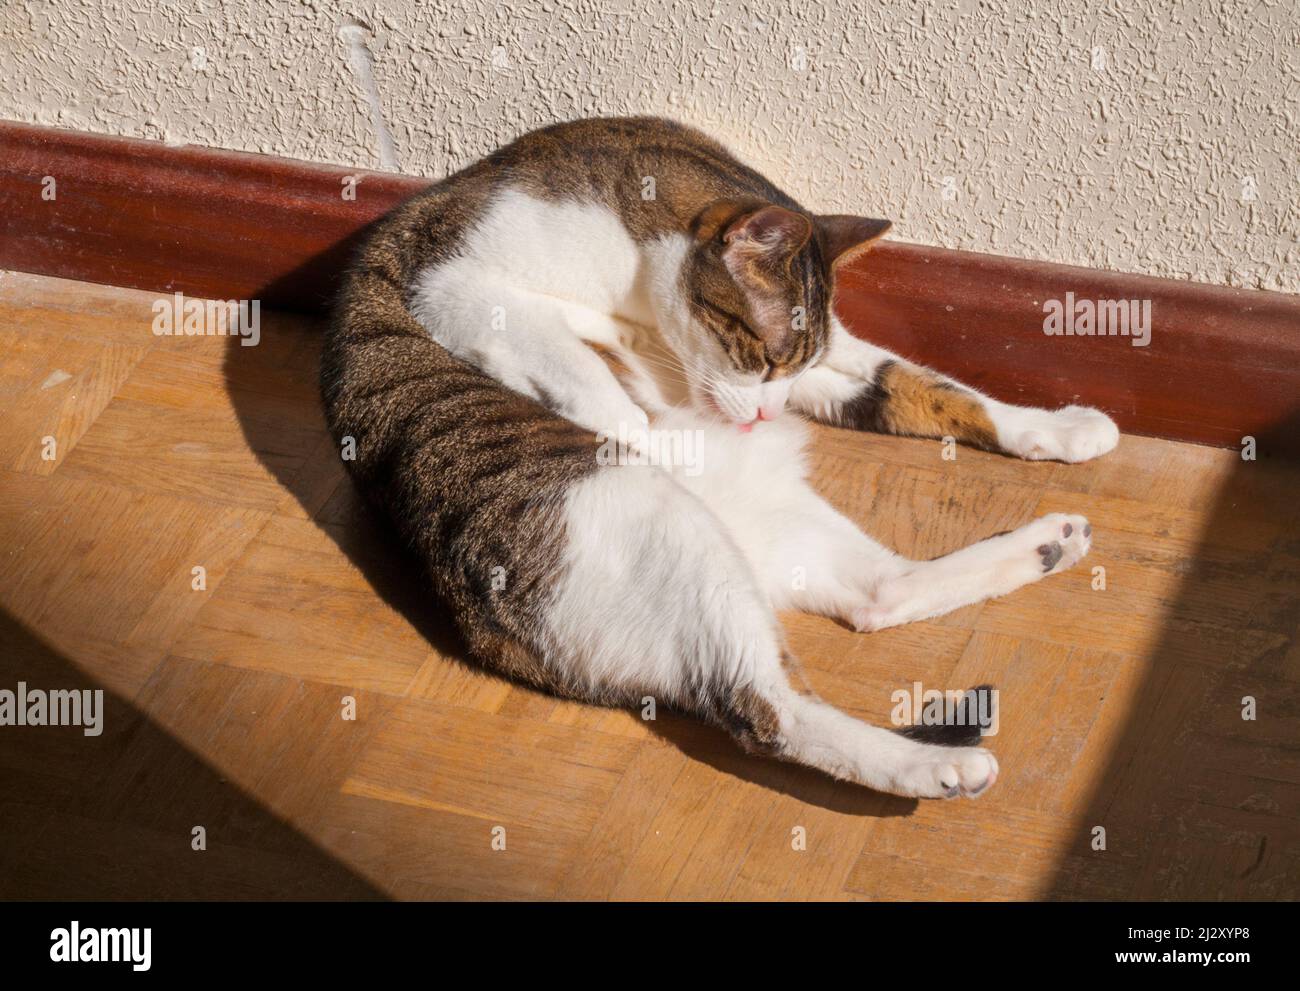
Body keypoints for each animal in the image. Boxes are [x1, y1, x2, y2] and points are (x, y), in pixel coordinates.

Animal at [322, 115, 1118, 801]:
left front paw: (1056, 428)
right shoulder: (457, 285)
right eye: (761, 355)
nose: (767, 415)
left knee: (881, 594)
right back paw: (935, 767)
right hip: (657, 521)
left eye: (792, 365)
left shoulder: (835, 356)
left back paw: (1049, 544)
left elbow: (921, 385)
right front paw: (636, 417)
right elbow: (582, 369)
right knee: (766, 711)